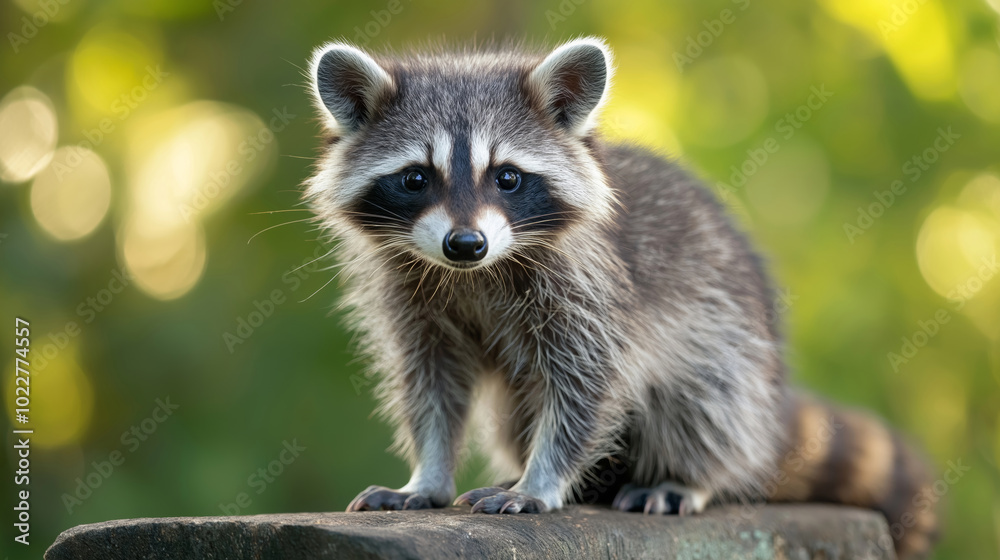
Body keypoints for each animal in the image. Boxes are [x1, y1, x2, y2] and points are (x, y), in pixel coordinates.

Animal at [305, 38, 939, 558]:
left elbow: (589, 385)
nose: (466, 244)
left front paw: (543, 481)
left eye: (507, 177)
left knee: (706, 401)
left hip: (729, 333)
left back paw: (688, 475)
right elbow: (431, 385)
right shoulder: (413, 299)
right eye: (416, 178)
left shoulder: (595, 290)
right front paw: (429, 474)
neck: (475, 273)